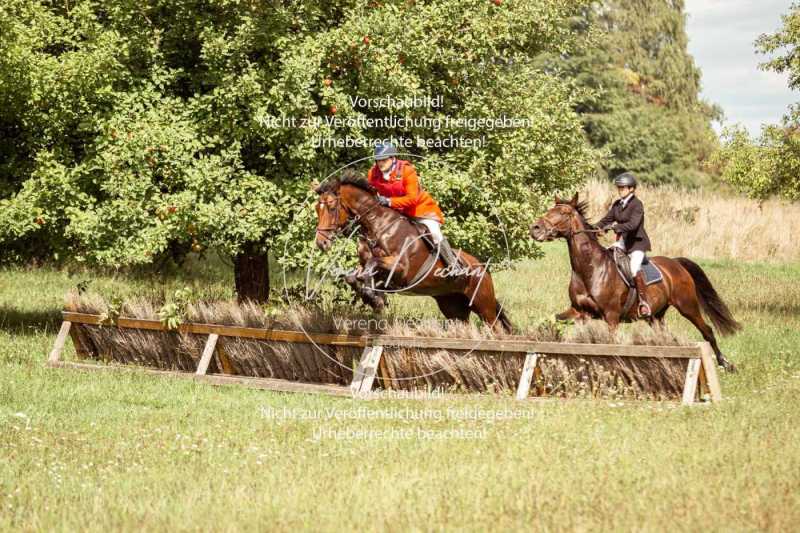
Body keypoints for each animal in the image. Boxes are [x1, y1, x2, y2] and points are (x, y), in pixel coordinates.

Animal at [312, 170, 512, 330]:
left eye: (331, 207)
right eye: (316, 208)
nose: (321, 243)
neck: (377, 227)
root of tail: (483, 268)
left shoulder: (401, 268)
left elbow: (373, 264)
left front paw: (375, 299)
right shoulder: (370, 268)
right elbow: (354, 276)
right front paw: (374, 298)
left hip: (483, 304)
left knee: (496, 327)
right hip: (453, 307)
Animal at [536, 193, 740, 372]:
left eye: (564, 213)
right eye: (550, 209)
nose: (535, 228)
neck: (590, 268)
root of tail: (676, 263)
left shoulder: (611, 316)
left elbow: (610, 344)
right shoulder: (579, 311)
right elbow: (551, 320)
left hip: (687, 306)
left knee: (707, 331)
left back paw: (725, 364)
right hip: (656, 316)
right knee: (665, 336)